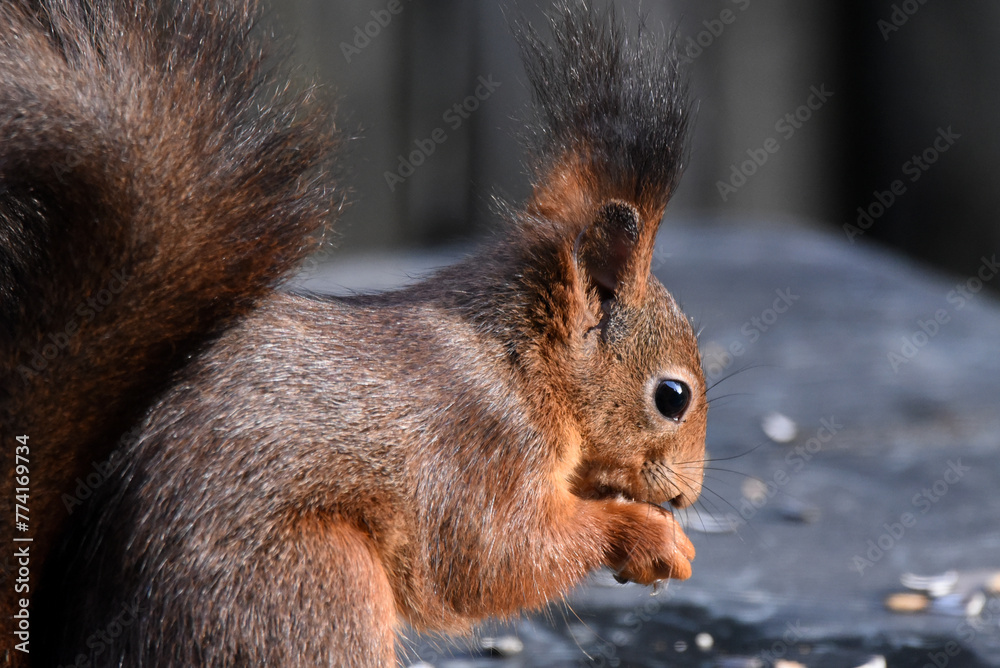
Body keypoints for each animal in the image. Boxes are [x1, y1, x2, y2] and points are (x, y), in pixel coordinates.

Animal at [0, 0, 706, 666]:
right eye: (672, 397)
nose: (688, 493)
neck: (517, 364)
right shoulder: (481, 447)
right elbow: (494, 558)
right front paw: (644, 535)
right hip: (317, 582)